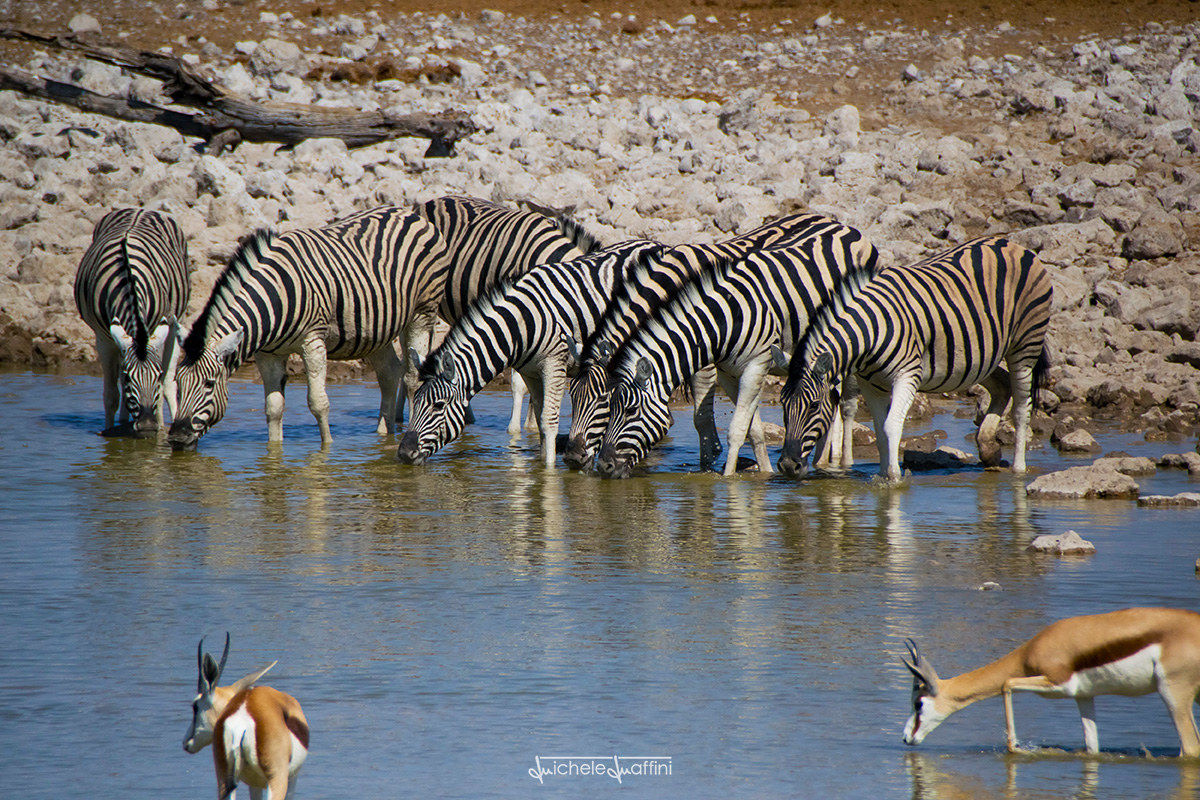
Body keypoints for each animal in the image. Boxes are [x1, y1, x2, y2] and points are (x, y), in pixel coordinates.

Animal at [73, 207, 189, 435]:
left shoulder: (155, 331)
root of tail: (141, 209)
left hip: (173, 321)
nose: (147, 426)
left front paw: (159, 431)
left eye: (157, 374)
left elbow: (160, 393)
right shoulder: (104, 339)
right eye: (129, 377)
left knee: (170, 384)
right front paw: (109, 432)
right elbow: (111, 396)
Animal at [166, 205, 452, 450]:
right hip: (376, 329)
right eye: (177, 382)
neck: (276, 297)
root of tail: (410, 213)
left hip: (422, 313)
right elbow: (273, 407)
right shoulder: (267, 354)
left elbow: (318, 402)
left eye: (209, 384)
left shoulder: (312, 341)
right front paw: (274, 452)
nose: (177, 438)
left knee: (412, 378)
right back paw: (384, 434)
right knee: (389, 374)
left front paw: (326, 450)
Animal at [396, 239, 663, 467]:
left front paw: (549, 475)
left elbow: (548, 420)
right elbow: (542, 423)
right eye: (415, 401)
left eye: (438, 406)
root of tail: (653, 243)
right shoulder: (531, 371)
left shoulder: (555, 364)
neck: (521, 325)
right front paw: (541, 468)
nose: (404, 453)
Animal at [564, 212, 871, 471]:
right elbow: (750, 427)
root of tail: (837, 223)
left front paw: (709, 465)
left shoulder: (705, 363)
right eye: (573, 397)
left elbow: (702, 419)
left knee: (844, 405)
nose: (571, 458)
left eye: (603, 401)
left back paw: (836, 462)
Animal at [776, 235, 1052, 481]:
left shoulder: (907, 376)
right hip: (979, 355)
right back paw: (989, 449)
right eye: (783, 405)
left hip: (1025, 346)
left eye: (813, 406)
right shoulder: (871, 385)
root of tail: (1012, 244)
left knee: (1021, 409)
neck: (871, 331)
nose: (788, 466)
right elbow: (880, 431)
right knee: (1002, 385)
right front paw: (882, 477)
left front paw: (894, 480)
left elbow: (891, 426)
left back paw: (1018, 469)